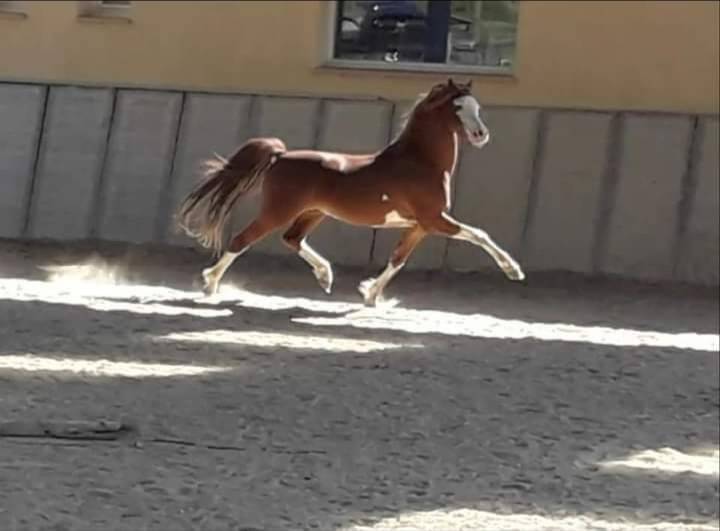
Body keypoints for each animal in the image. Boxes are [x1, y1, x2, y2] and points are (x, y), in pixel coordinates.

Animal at [176, 78, 525, 306]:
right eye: (458, 107)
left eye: (477, 106)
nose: (481, 134)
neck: (419, 162)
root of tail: (280, 156)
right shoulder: (435, 219)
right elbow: (479, 234)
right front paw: (513, 270)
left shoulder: (420, 225)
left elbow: (398, 259)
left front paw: (370, 295)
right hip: (278, 211)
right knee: (242, 240)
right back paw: (209, 284)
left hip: (313, 213)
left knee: (292, 239)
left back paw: (325, 276)